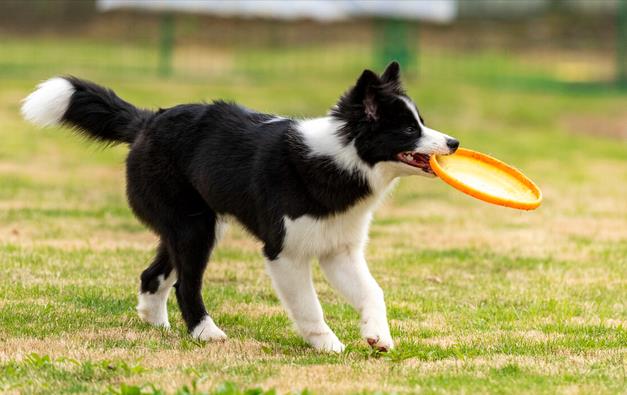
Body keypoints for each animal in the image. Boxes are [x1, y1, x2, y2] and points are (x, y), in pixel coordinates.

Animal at [22, 63, 458, 354]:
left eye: (421, 121)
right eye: (408, 129)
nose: (453, 143)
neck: (340, 157)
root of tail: (148, 121)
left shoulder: (339, 250)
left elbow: (372, 292)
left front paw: (377, 335)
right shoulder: (284, 253)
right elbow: (309, 305)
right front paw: (327, 344)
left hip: (193, 224)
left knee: (153, 274)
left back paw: (157, 323)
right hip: (194, 228)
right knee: (185, 284)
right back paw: (204, 332)